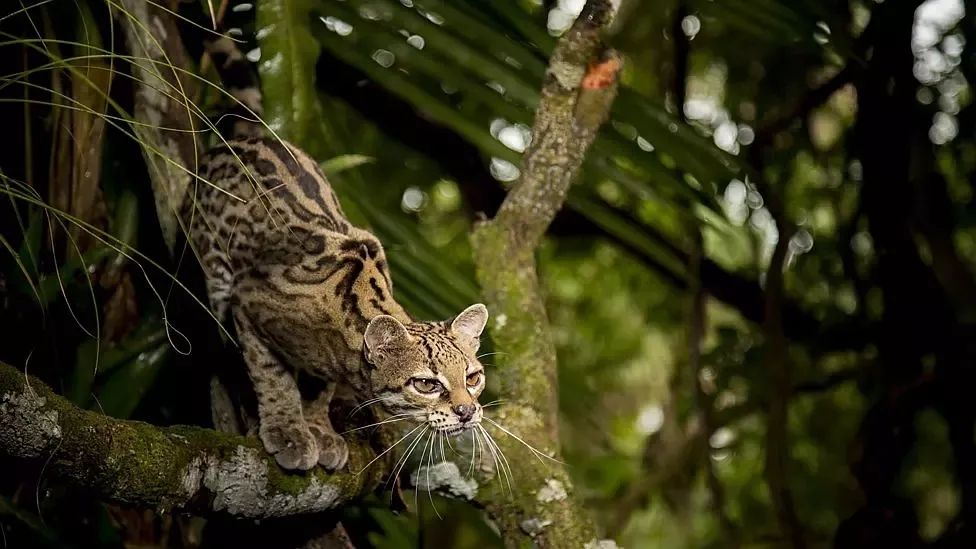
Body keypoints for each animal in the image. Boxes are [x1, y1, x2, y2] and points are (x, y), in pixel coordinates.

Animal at [182, 35, 488, 470]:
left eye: (473, 378)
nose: (467, 411)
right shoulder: (249, 303)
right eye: (426, 384)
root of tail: (252, 136)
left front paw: (319, 427)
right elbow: (273, 377)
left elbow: (322, 385)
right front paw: (287, 429)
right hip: (216, 270)